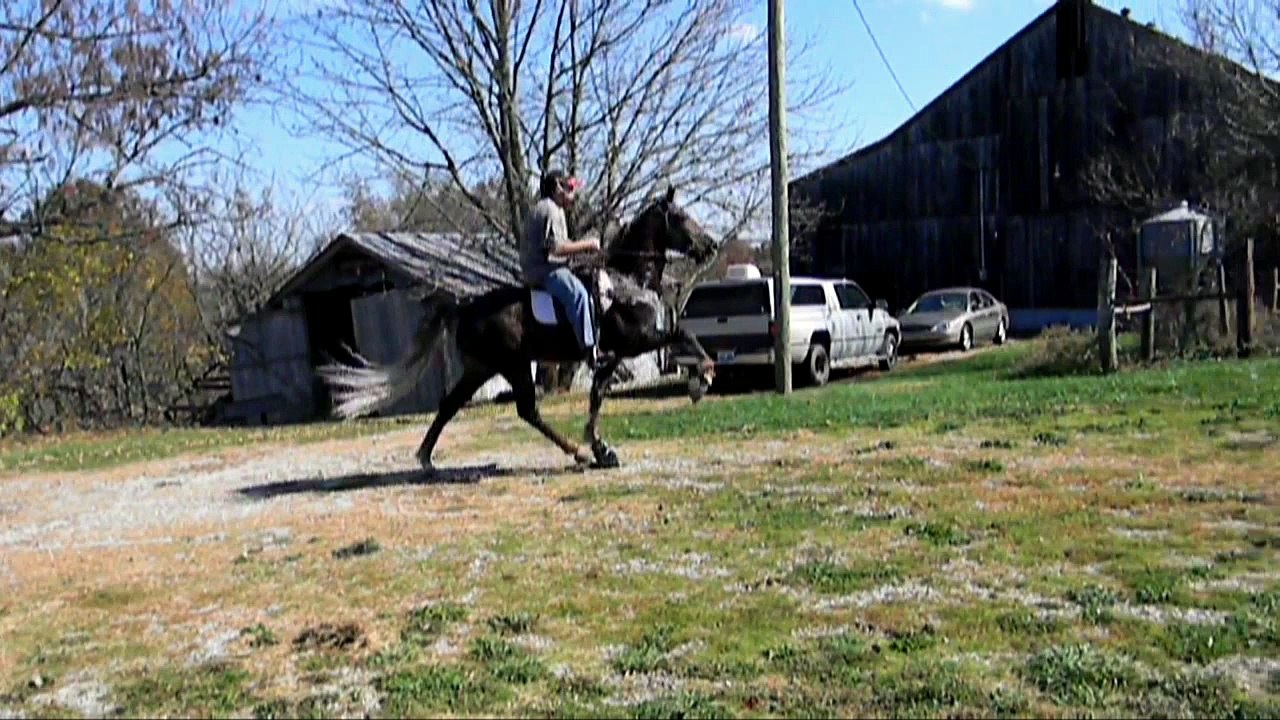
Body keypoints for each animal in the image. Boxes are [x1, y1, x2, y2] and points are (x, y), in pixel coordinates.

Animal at [316, 185, 719, 472]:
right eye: (681, 217)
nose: (711, 246)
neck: (628, 279)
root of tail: (464, 306)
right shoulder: (634, 341)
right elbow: (684, 335)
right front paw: (702, 380)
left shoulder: (613, 355)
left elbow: (597, 396)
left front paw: (601, 448)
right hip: (512, 365)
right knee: (527, 410)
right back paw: (575, 453)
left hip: (481, 367)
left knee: (451, 404)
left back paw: (426, 458)